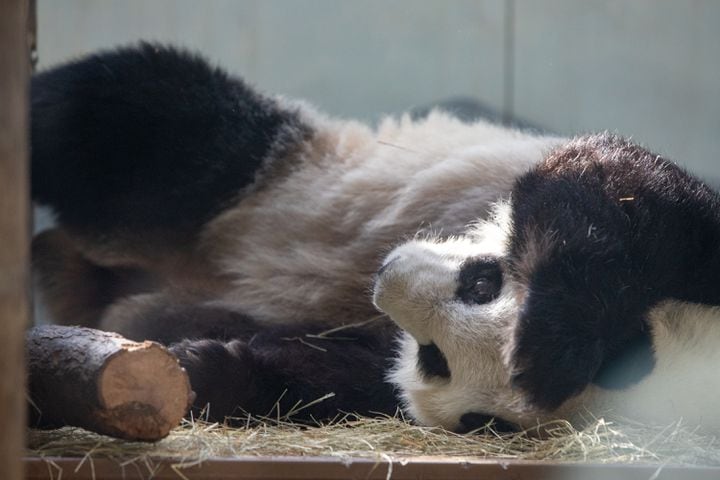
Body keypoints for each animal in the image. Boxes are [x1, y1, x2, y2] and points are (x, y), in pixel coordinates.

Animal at [29, 44, 720, 436]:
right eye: (483, 282)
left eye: (439, 361)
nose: (388, 286)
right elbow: (620, 187)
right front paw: (553, 345)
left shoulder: (379, 363)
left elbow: (335, 379)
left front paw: (204, 367)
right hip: (270, 177)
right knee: (125, 112)